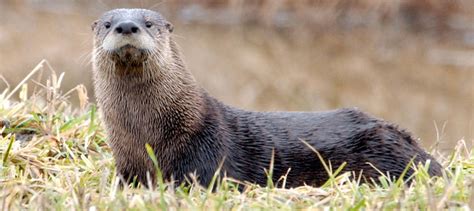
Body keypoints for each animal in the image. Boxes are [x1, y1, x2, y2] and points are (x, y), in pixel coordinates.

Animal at [91, 8, 440, 188]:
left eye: (149, 24)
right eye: (107, 24)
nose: (127, 26)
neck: (147, 133)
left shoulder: (206, 157)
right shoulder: (127, 164)